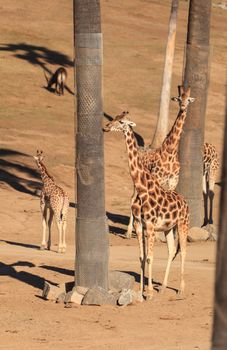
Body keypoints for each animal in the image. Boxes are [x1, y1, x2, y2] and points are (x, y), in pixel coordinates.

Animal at [103, 113, 189, 300]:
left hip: (182, 224)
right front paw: (141, 290)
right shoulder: (139, 224)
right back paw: (163, 287)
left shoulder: (150, 225)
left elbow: (150, 257)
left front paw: (149, 292)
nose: (105, 127)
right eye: (113, 118)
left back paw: (181, 289)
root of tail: (185, 202)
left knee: (184, 251)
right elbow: (141, 257)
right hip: (169, 228)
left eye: (121, 122)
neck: (142, 188)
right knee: (172, 250)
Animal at [127, 85, 194, 238]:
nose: (182, 106)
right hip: (136, 184)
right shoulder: (157, 181)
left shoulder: (172, 184)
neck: (170, 152)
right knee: (132, 198)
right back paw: (128, 232)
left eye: (188, 100)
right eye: (179, 98)